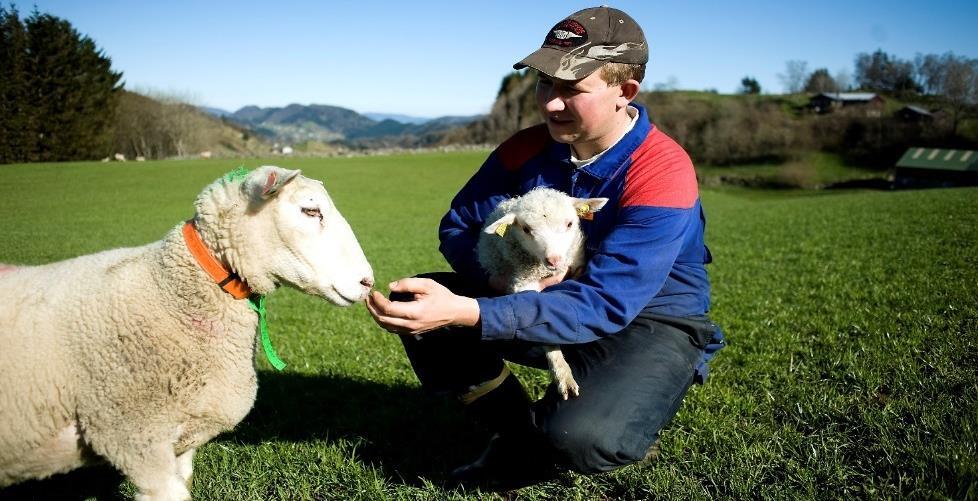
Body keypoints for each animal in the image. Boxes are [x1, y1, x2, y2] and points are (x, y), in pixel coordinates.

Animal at [476, 186, 608, 400]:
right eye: (526, 229)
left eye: (569, 223)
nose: (554, 259)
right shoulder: (523, 285)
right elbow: (543, 324)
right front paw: (563, 376)